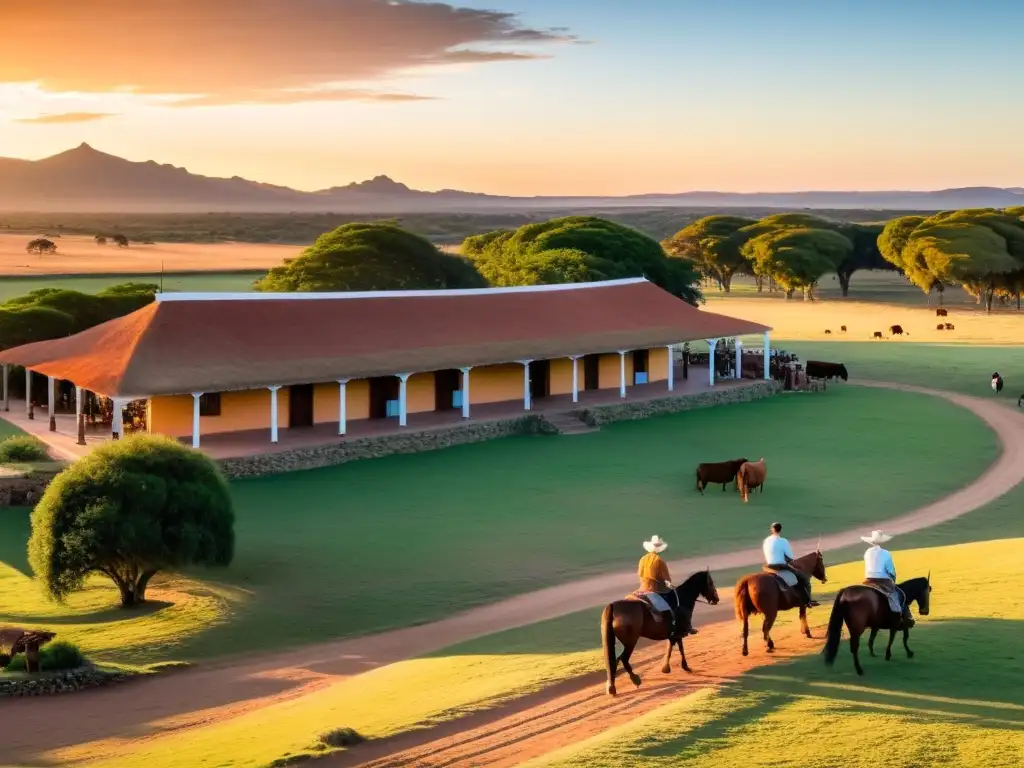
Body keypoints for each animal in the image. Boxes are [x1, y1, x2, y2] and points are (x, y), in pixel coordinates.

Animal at [598, 565, 720, 696]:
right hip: (631, 641)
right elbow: (680, 649)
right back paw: (635, 679)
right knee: (623, 659)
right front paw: (684, 667)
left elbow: (671, 648)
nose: (716, 599)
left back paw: (612, 687)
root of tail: (613, 606)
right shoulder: (678, 633)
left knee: (614, 662)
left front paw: (666, 667)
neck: (682, 598)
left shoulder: (673, 634)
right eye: (711, 583)